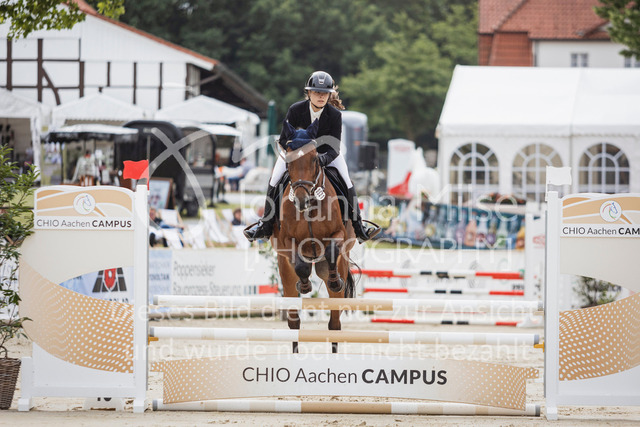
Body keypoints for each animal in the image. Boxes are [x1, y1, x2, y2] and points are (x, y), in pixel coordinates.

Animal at [270, 120, 356, 354]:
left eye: (315, 158)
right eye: (289, 161)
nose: (301, 200)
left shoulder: (339, 234)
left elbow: (332, 248)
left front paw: (334, 282)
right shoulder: (286, 242)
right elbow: (300, 264)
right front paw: (306, 284)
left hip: (334, 268)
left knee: (334, 323)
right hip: (285, 272)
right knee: (294, 322)